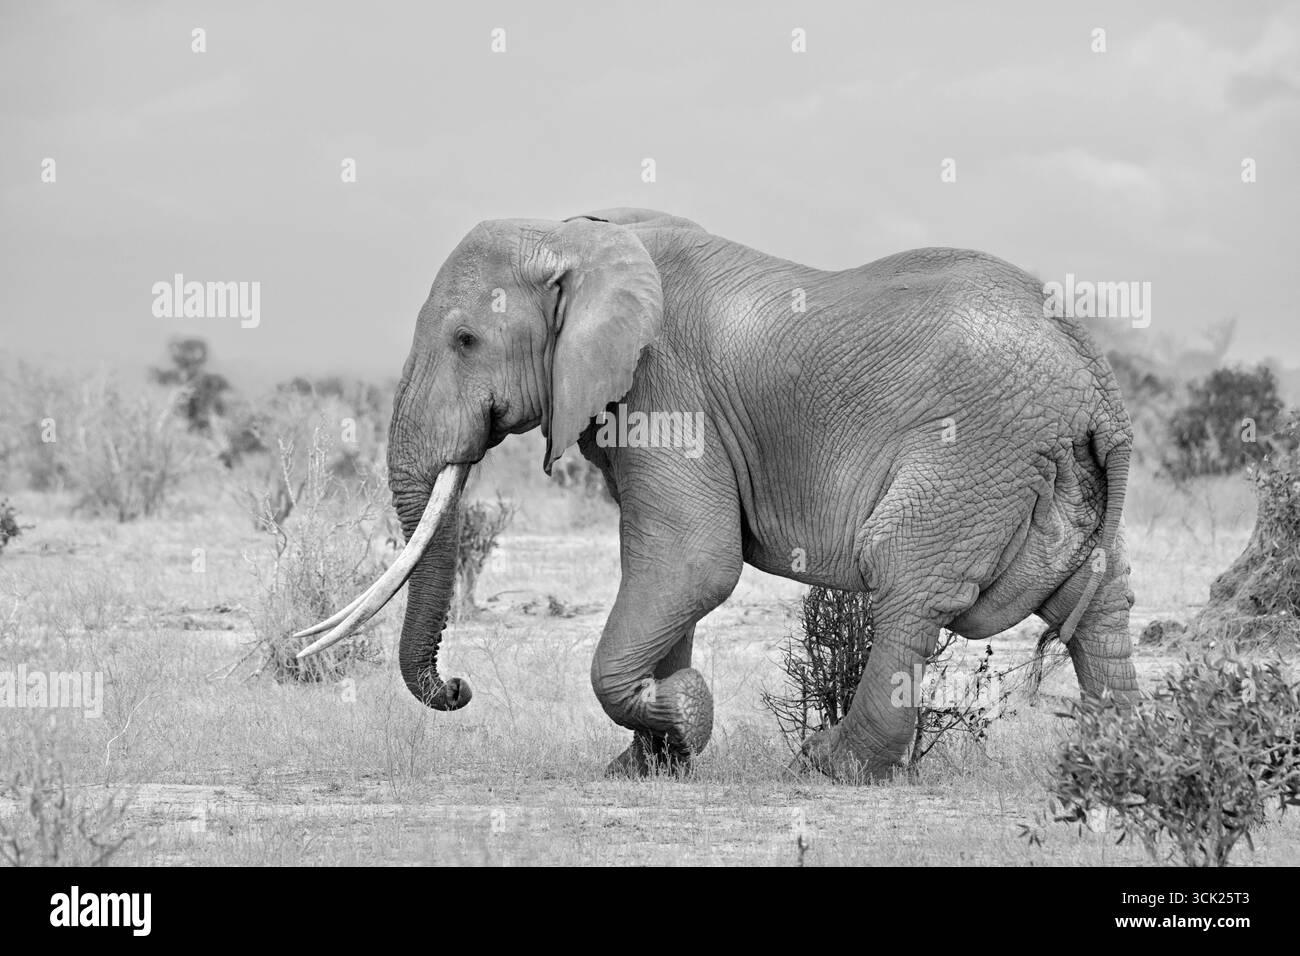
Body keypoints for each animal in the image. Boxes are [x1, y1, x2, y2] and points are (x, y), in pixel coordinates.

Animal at [297, 206, 1138, 781]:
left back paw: (828, 767)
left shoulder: (669, 387)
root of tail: (1093, 376)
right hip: (1048, 469)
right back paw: (1110, 759)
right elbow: (667, 574)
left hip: (976, 450)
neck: (576, 236)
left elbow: (691, 564)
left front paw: (686, 717)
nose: (459, 687)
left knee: (906, 579)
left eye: (466, 340)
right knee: (1093, 598)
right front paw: (646, 764)